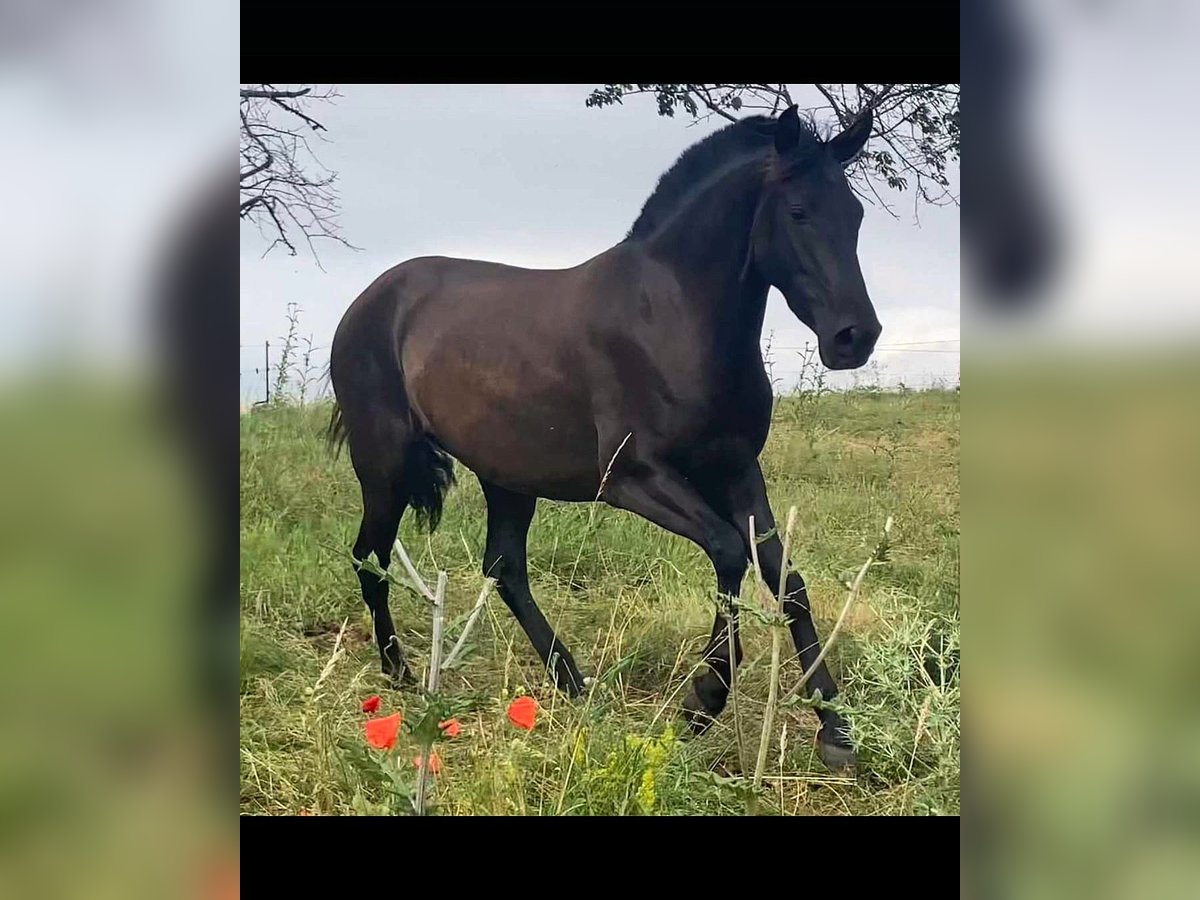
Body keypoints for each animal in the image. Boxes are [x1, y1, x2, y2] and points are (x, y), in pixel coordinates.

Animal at [328, 103, 883, 768]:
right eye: (798, 211)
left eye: (854, 213)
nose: (856, 337)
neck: (672, 316)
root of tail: (368, 302)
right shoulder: (634, 478)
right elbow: (728, 552)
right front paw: (703, 701)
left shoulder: (736, 470)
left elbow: (786, 579)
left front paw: (836, 731)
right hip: (383, 465)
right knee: (371, 557)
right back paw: (401, 675)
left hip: (507, 476)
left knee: (504, 568)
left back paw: (573, 682)